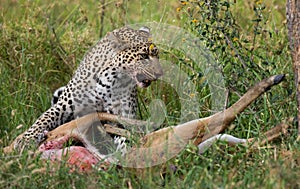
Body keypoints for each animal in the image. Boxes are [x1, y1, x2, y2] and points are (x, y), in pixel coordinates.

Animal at [14, 26, 163, 151]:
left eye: (157, 56)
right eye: (144, 56)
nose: (160, 73)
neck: (112, 79)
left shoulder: (122, 116)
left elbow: (124, 134)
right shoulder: (64, 106)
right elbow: (43, 120)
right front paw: (25, 140)